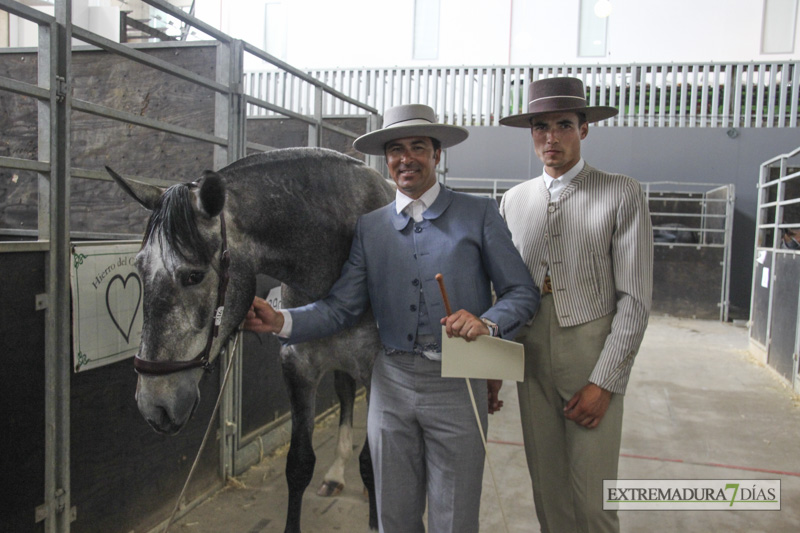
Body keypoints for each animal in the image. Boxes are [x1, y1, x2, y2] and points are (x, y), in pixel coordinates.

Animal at [108, 147, 392, 532]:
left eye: (193, 276)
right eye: (139, 268)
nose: (155, 407)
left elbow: (373, 463)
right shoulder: (299, 367)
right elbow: (299, 464)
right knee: (346, 396)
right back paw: (335, 475)